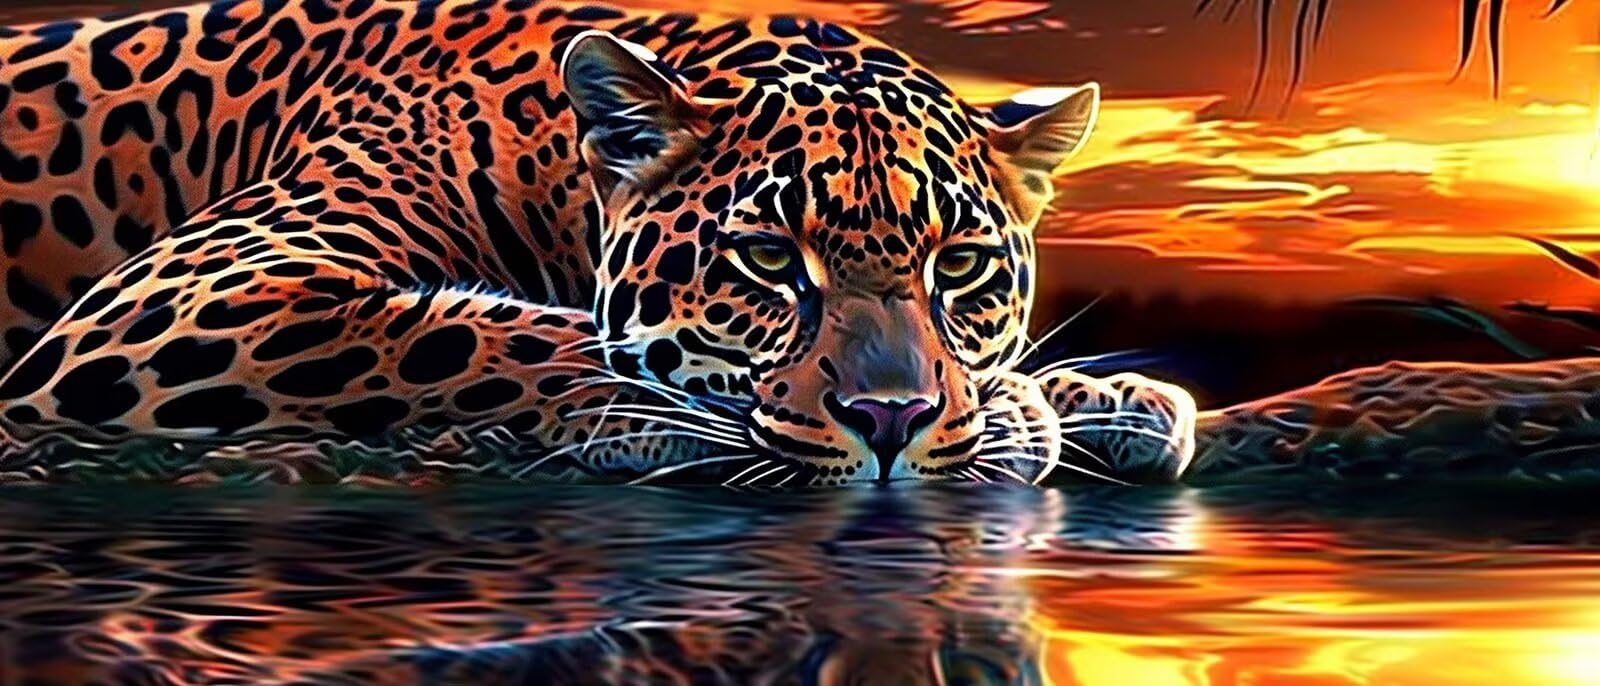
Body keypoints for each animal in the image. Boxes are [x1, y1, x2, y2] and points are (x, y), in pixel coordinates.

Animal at [0, 0, 1196, 486]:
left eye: (960, 266)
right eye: (770, 259)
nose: (890, 422)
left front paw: (1105, 399)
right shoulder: (183, 304)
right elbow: (491, 339)